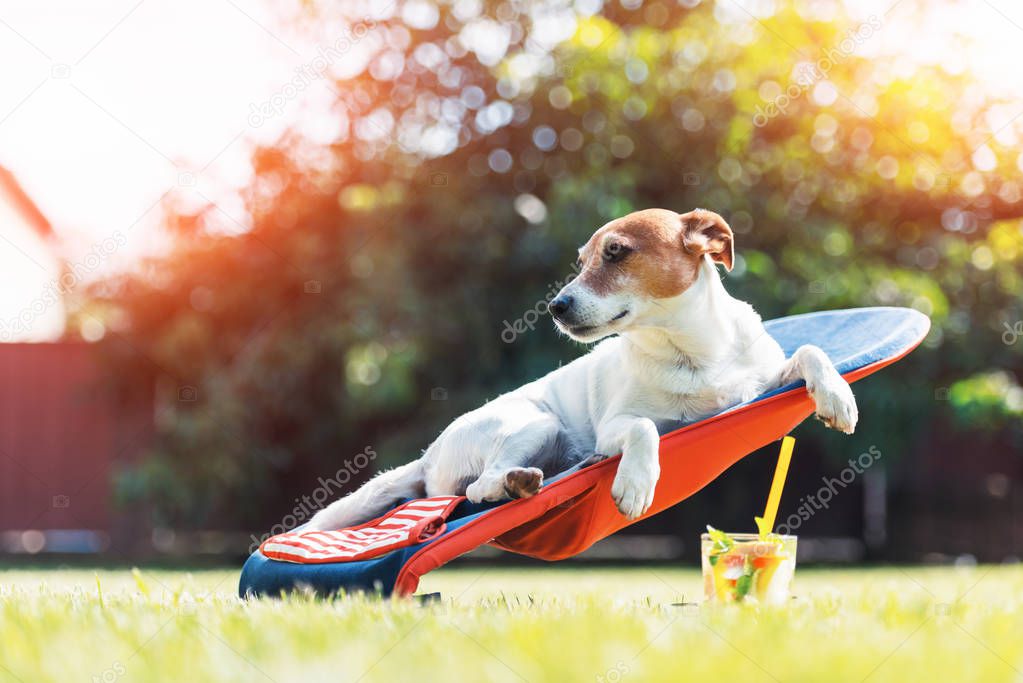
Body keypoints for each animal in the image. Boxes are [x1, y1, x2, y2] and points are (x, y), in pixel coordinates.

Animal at [306, 206, 859, 527]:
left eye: (617, 252)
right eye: (581, 261)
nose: (555, 307)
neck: (691, 352)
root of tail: (427, 455)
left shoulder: (759, 382)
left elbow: (811, 351)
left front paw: (837, 397)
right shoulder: (617, 426)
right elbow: (644, 429)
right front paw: (636, 483)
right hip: (536, 423)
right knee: (480, 487)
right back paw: (517, 482)